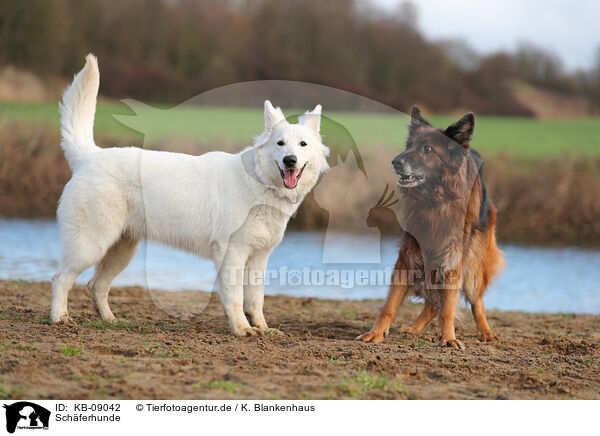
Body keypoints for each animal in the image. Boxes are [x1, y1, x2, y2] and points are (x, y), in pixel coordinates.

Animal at [51, 55, 330, 338]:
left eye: (303, 144)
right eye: (280, 144)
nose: (290, 160)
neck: (259, 183)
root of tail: (90, 156)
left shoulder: (258, 258)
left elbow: (256, 299)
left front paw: (263, 329)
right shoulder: (232, 253)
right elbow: (235, 298)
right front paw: (242, 329)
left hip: (121, 250)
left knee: (95, 285)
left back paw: (111, 321)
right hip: (91, 245)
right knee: (60, 279)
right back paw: (59, 318)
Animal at [358, 107, 504, 350]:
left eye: (427, 149)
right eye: (409, 146)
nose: (395, 162)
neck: (434, 201)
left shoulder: (453, 259)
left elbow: (448, 308)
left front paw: (449, 338)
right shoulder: (409, 256)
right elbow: (390, 305)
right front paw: (375, 333)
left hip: (473, 263)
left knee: (476, 300)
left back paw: (485, 331)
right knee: (432, 302)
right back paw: (413, 328)